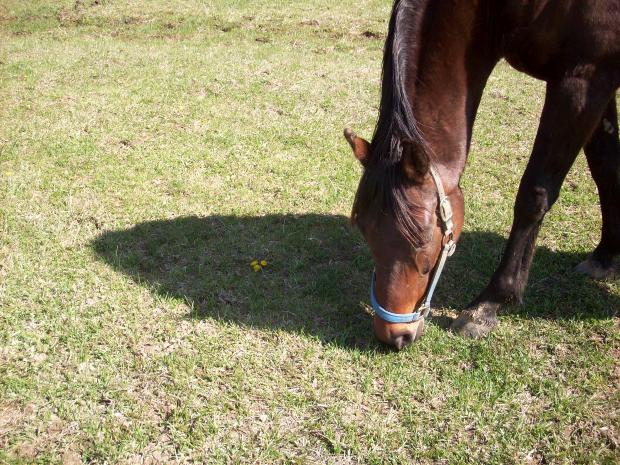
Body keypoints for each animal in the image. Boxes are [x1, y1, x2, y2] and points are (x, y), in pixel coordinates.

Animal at [344, 0, 620, 348]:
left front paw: (489, 304)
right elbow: (606, 169)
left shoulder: (583, 78)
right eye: (366, 234)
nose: (393, 336)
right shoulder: (601, 83)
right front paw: (607, 255)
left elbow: (535, 193)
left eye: (424, 252)